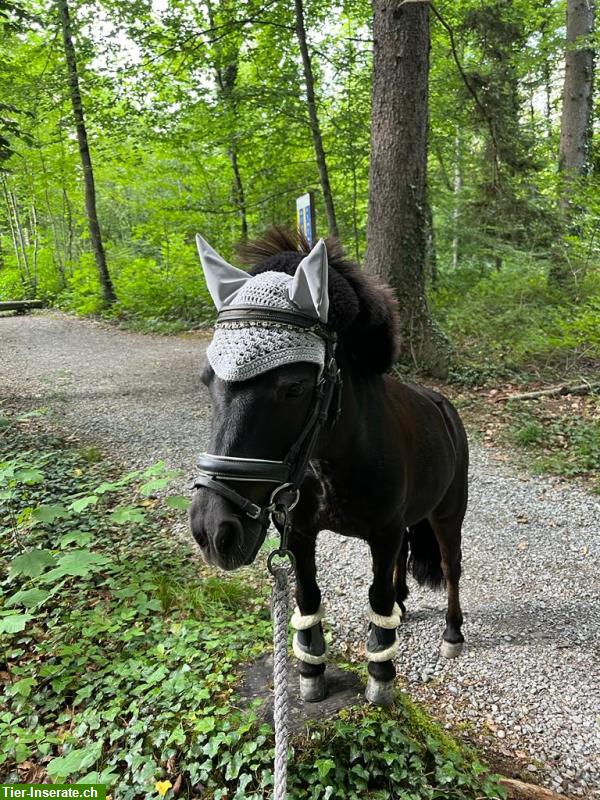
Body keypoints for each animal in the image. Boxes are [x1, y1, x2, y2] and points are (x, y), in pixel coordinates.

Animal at [191, 227, 468, 708]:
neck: (331, 459)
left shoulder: (384, 533)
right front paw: (310, 672)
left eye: (295, 388)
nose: (212, 529)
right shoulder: (301, 533)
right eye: (209, 379)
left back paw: (452, 633)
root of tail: (444, 406)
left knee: (452, 567)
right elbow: (308, 596)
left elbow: (376, 595)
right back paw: (404, 606)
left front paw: (381, 676)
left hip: (448, 516)